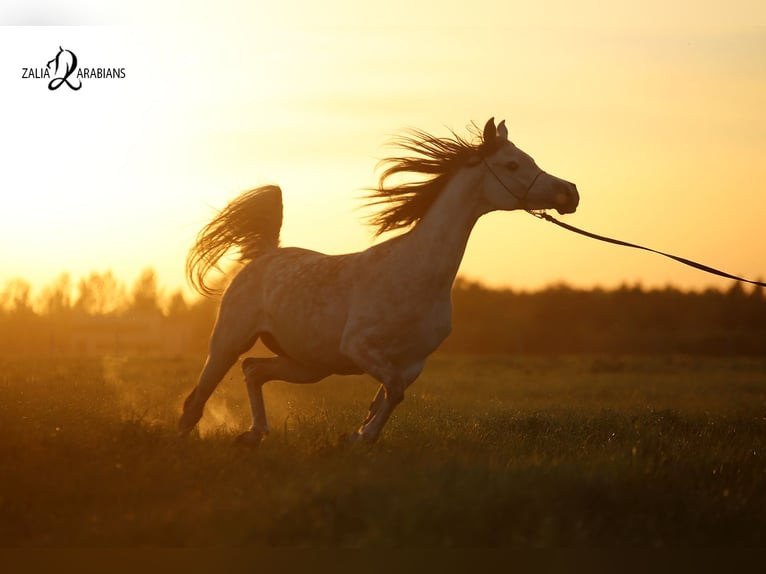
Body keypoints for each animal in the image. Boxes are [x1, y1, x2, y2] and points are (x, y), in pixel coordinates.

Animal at [178, 117, 579, 445]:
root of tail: (266, 253)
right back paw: (192, 435)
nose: (570, 193)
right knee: (199, 396)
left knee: (254, 370)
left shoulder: (413, 362)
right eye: (512, 164)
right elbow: (394, 392)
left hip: (308, 365)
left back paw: (255, 434)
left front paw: (359, 434)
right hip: (230, 341)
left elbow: (389, 396)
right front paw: (359, 436)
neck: (416, 275)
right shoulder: (362, 349)